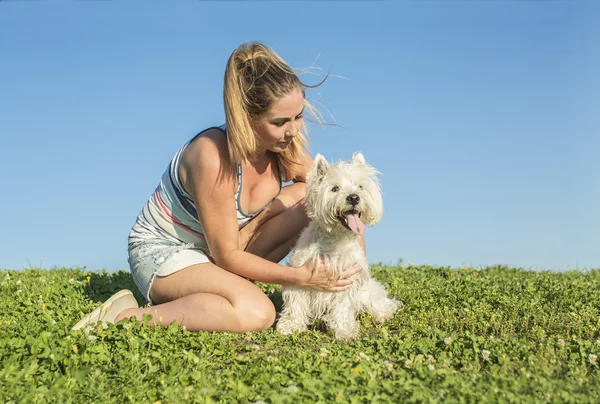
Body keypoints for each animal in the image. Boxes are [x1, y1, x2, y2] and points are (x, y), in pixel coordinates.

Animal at [278, 153, 404, 340]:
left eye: (360, 186)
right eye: (335, 188)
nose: (353, 197)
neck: (335, 238)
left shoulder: (347, 279)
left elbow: (343, 307)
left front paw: (345, 332)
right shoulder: (300, 273)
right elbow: (296, 302)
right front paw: (290, 326)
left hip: (369, 291)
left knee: (383, 303)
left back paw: (382, 315)